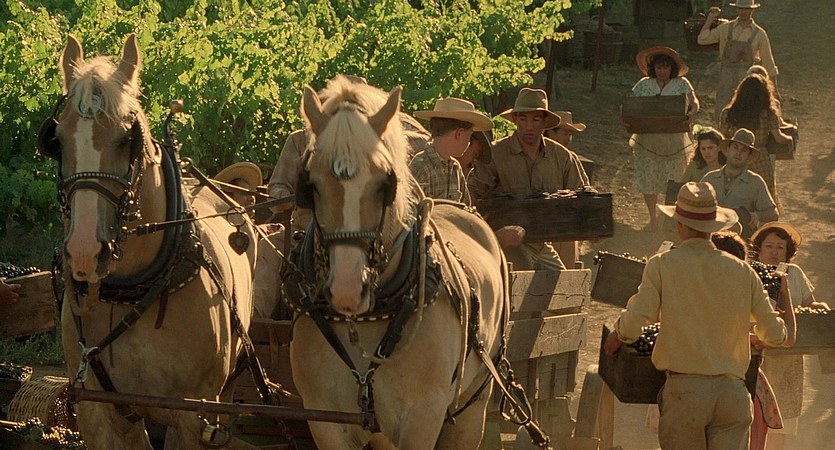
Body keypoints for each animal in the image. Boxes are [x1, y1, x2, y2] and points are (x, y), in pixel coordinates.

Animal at [41, 34, 258, 449]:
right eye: (57, 141)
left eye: (128, 138)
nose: (84, 252)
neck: (131, 294)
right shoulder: (98, 412)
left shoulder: (193, 416)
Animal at [282, 76, 508, 449]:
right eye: (310, 184)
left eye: (384, 183)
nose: (347, 290)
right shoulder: (324, 419)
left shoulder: (423, 416)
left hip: (473, 404)